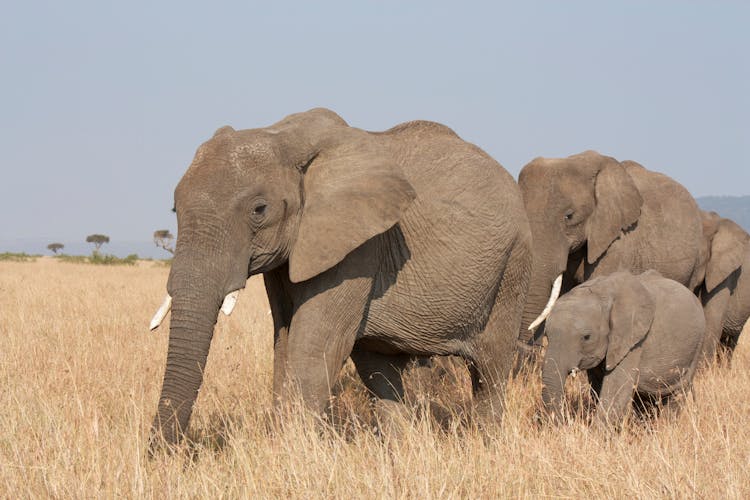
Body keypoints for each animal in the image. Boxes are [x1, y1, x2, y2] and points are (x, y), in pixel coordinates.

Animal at [544, 270, 708, 426]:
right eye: (546, 335)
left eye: (586, 337)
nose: (566, 422)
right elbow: (598, 388)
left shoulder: (633, 342)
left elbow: (615, 392)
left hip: (696, 346)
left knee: (677, 395)